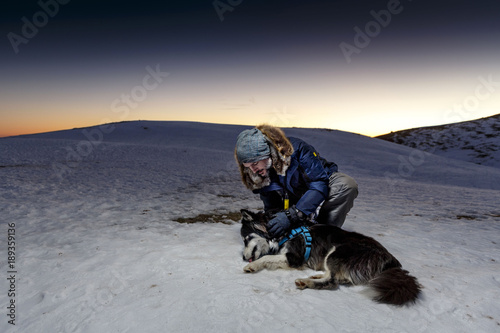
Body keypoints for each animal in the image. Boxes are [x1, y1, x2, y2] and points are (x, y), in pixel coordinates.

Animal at [240, 209, 420, 304]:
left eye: (246, 239)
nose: (242, 257)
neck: (283, 233)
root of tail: (390, 259)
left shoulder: (294, 257)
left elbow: (264, 258)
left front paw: (252, 266)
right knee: (339, 277)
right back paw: (315, 276)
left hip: (337, 251)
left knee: (333, 282)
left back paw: (306, 282)